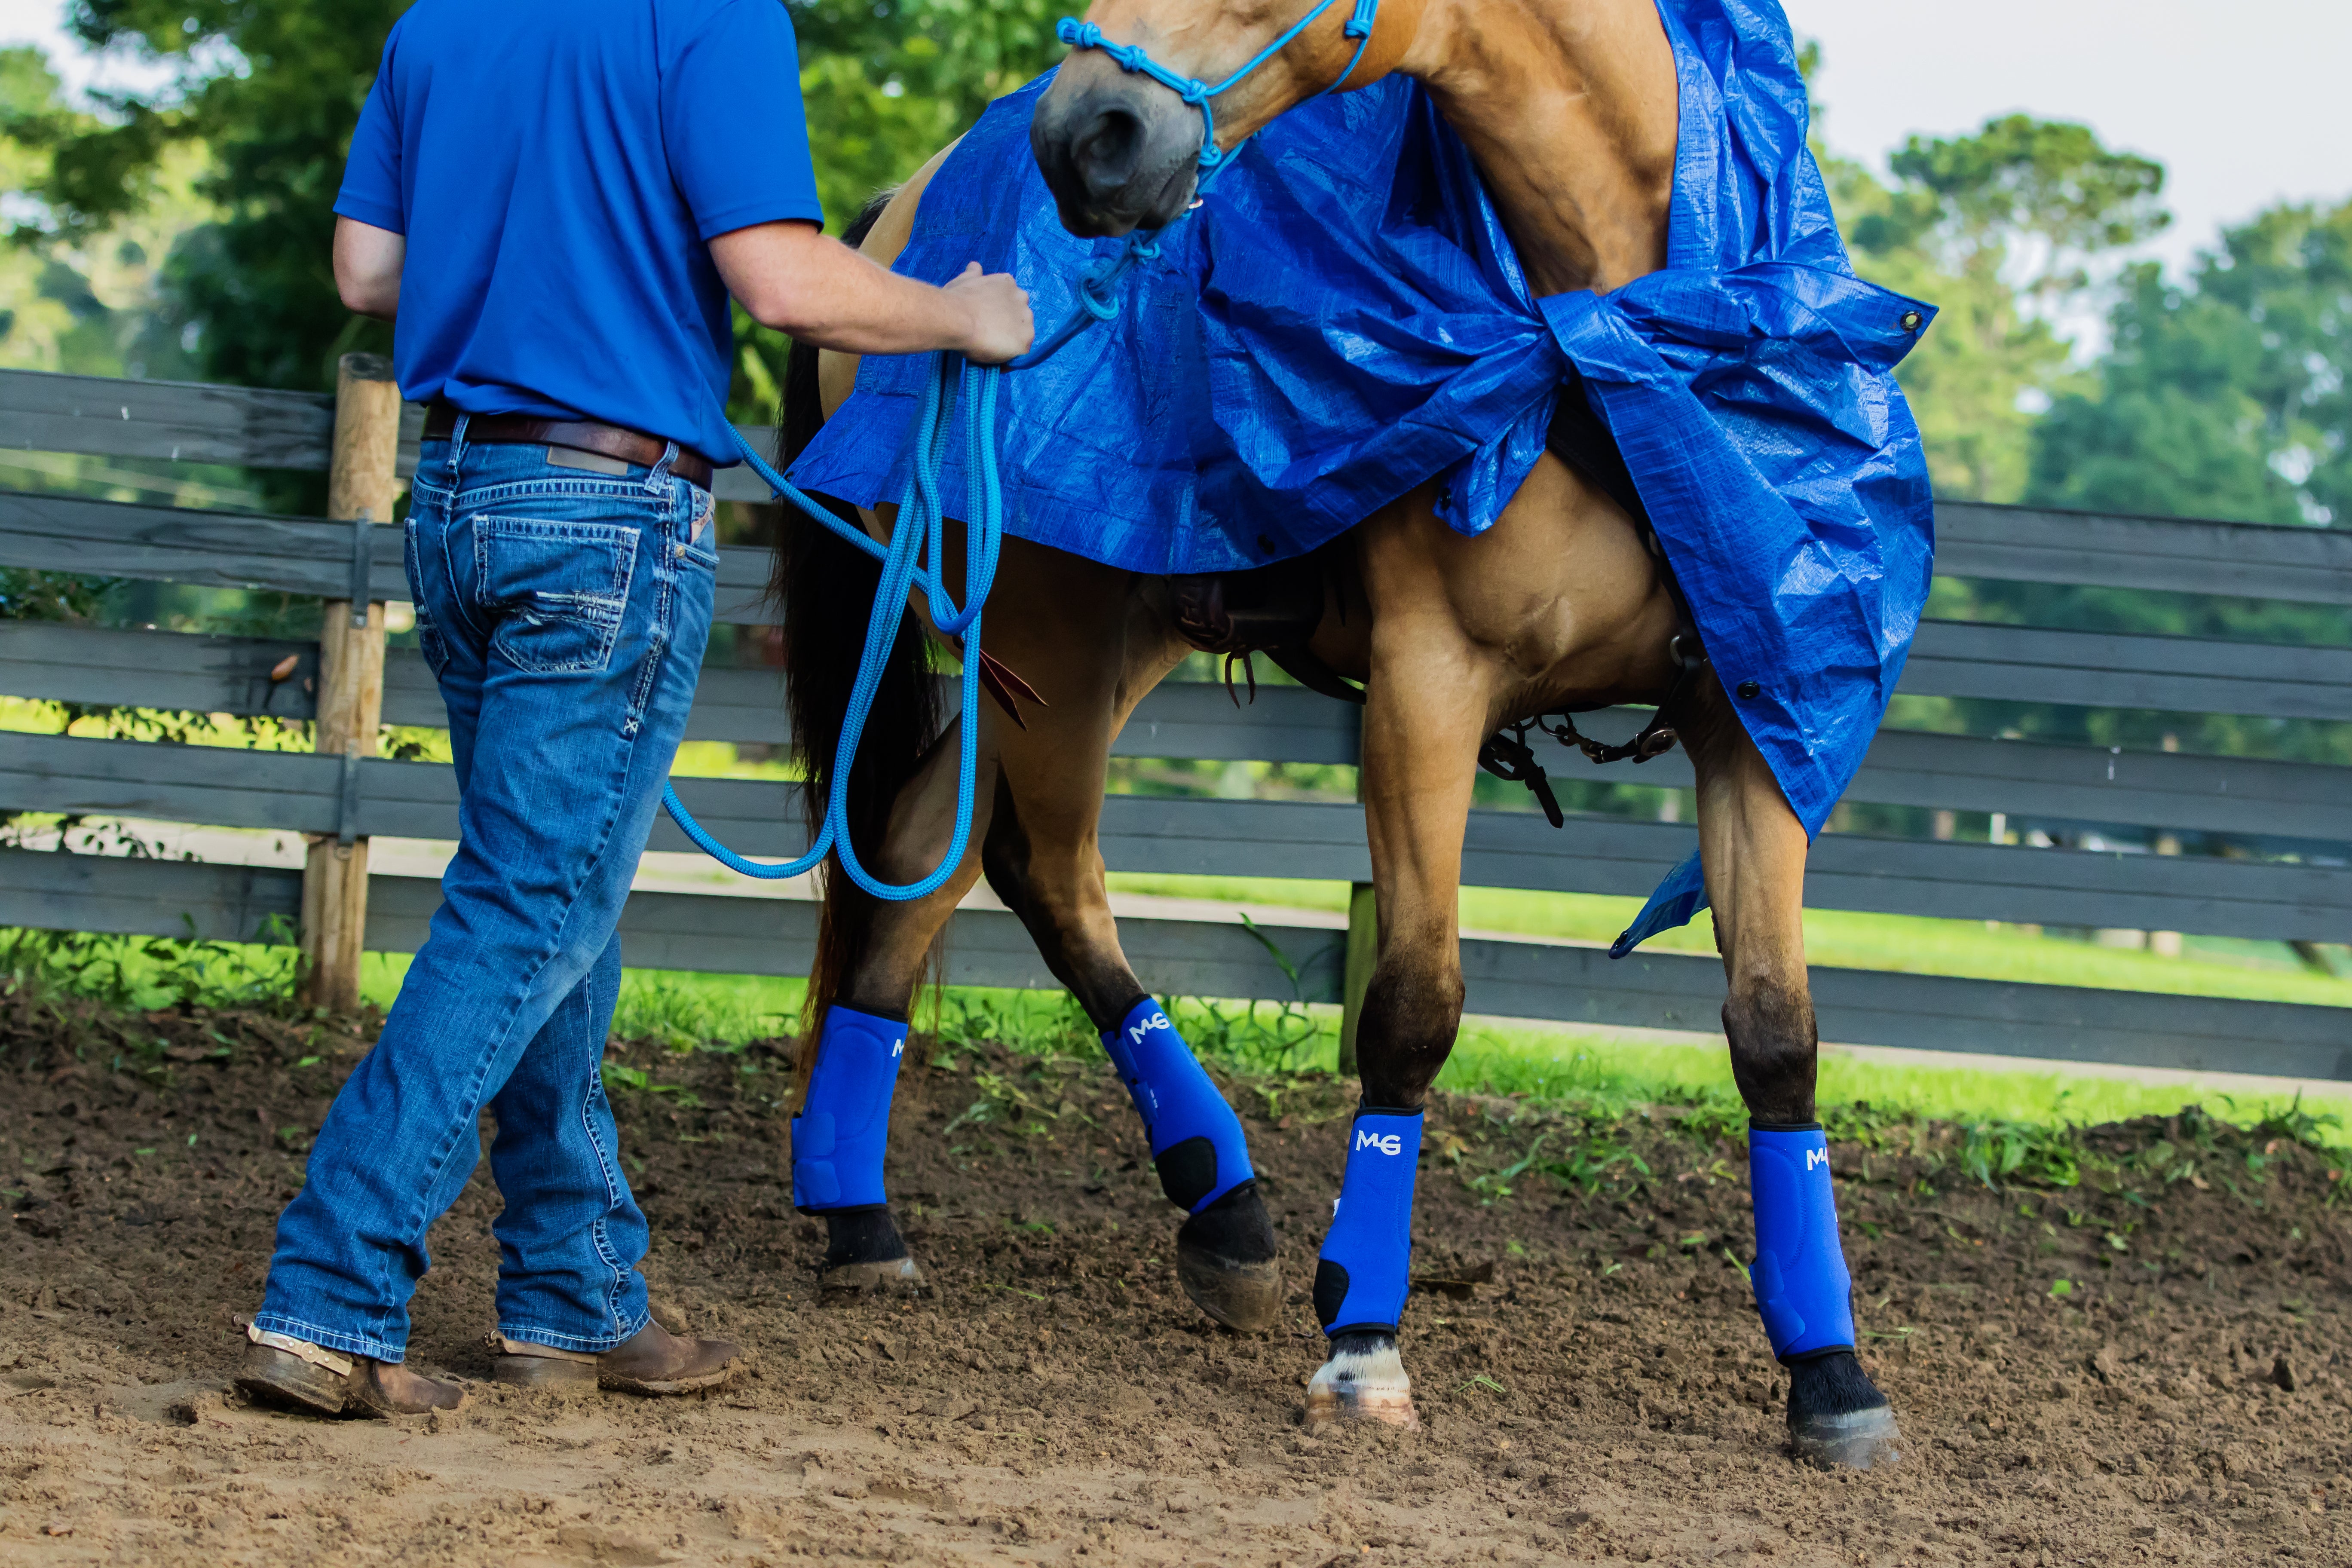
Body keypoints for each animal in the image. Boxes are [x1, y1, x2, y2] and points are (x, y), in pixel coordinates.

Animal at [775, 0, 1909, 1469]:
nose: (1086, 134)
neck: (1617, 320)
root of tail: (900, 215)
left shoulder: (1754, 706)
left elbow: (1776, 1032)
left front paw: (1829, 1372)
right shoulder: (1430, 691)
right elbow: (1414, 1009)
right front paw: (1365, 1337)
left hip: (1088, 639)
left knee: (926, 849)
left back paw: (878, 1215)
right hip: (1047, 640)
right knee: (1049, 877)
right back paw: (1218, 1203)